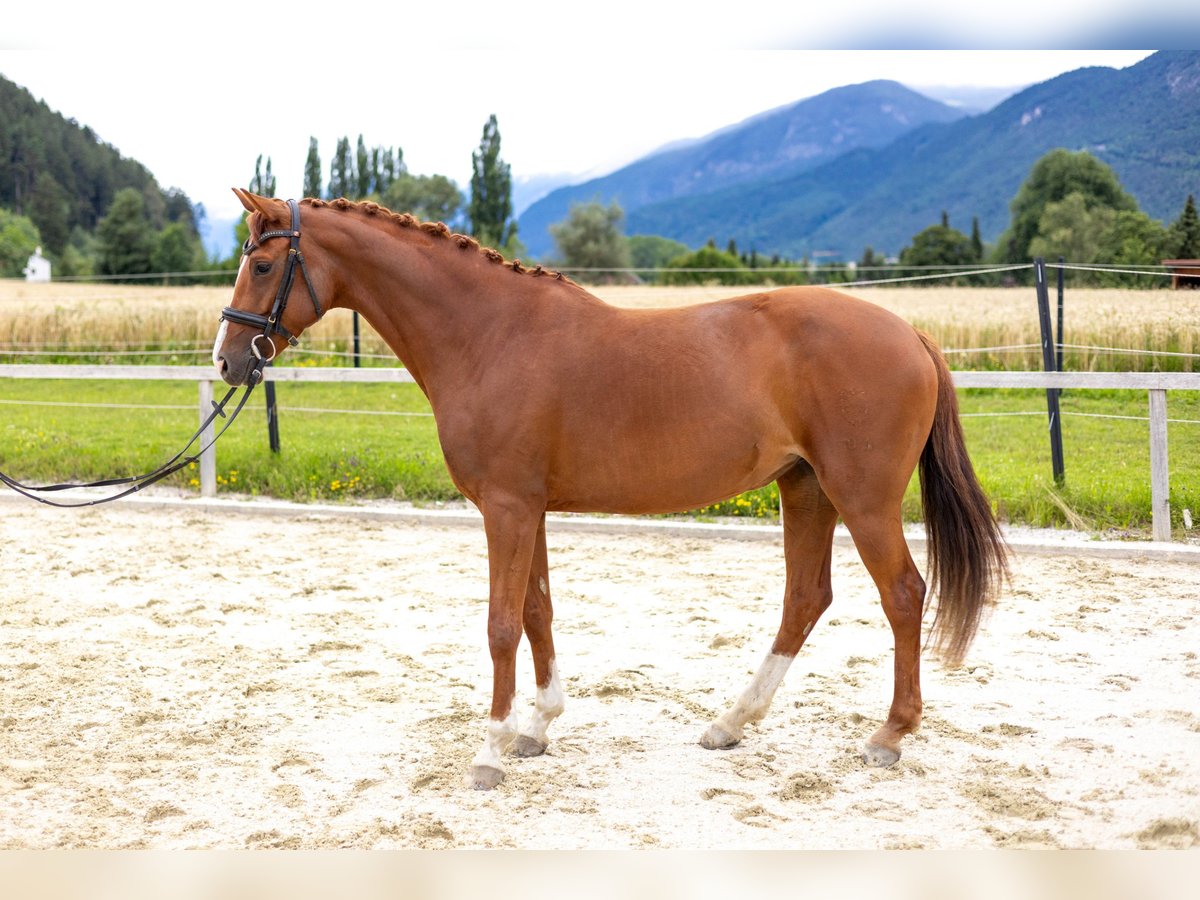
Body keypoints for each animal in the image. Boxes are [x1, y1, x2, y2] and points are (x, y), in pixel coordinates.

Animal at [213, 190, 1003, 787]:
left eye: (262, 263)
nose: (225, 361)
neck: (490, 334)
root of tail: (910, 333)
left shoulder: (507, 509)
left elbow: (501, 625)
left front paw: (490, 751)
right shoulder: (526, 508)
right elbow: (537, 612)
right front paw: (537, 727)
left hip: (861, 498)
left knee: (902, 594)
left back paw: (888, 735)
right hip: (805, 489)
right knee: (806, 599)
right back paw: (731, 723)